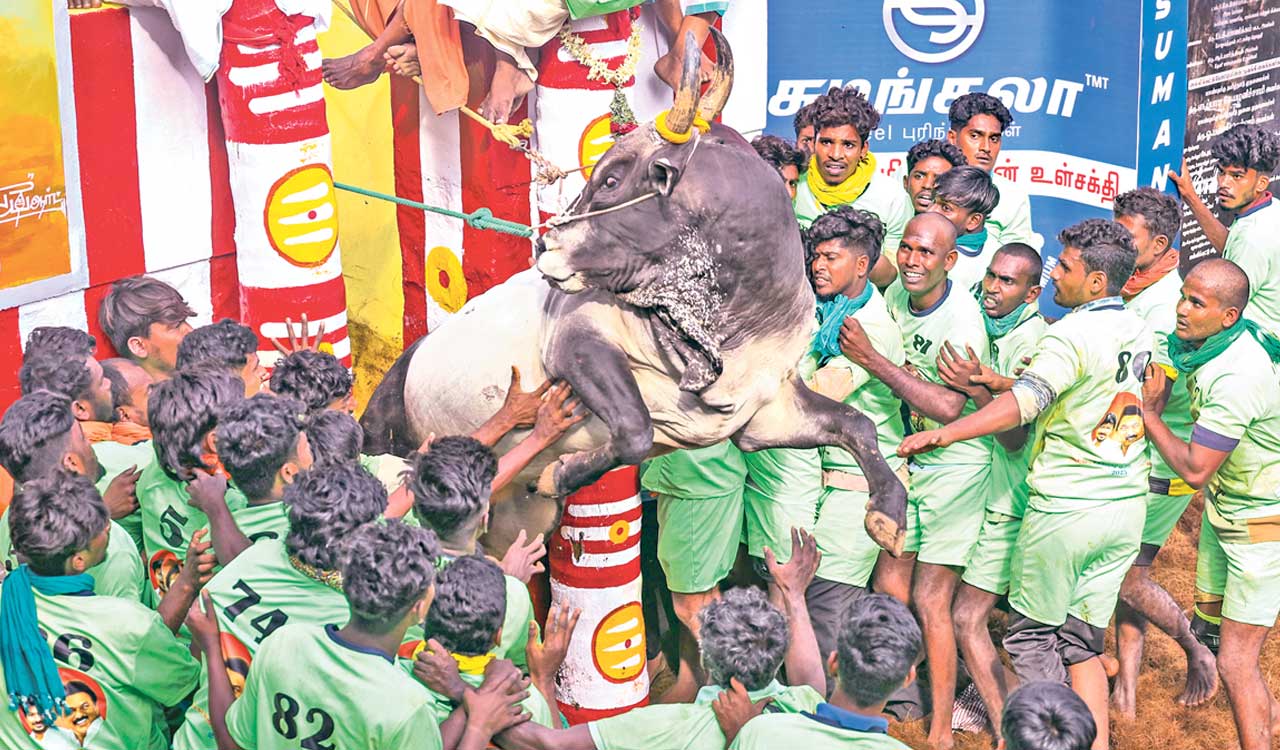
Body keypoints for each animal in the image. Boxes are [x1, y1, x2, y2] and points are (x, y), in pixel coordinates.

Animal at [362, 30, 908, 557]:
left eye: (610, 179)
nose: (545, 243)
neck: (721, 331)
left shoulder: (763, 414)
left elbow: (857, 424)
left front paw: (889, 515)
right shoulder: (576, 341)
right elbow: (636, 429)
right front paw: (560, 471)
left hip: (517, 519)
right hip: (385, 434)